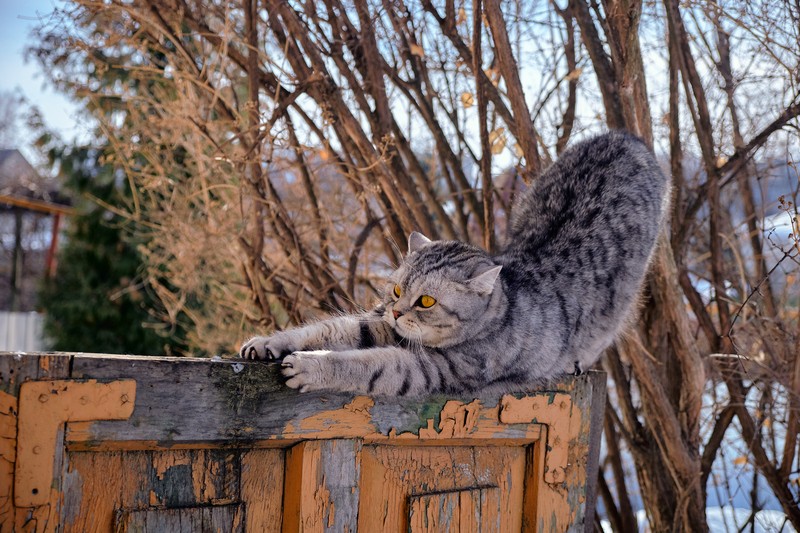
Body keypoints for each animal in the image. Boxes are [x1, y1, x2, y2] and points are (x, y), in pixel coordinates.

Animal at [236, 129, 668, 394]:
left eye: (427, 301)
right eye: (397, 290)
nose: (397, 311)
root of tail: (624, 136)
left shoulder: (435, 369)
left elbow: (371, 366)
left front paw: (311, 366)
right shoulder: (379, 323)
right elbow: (329, 329)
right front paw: (270, 342)